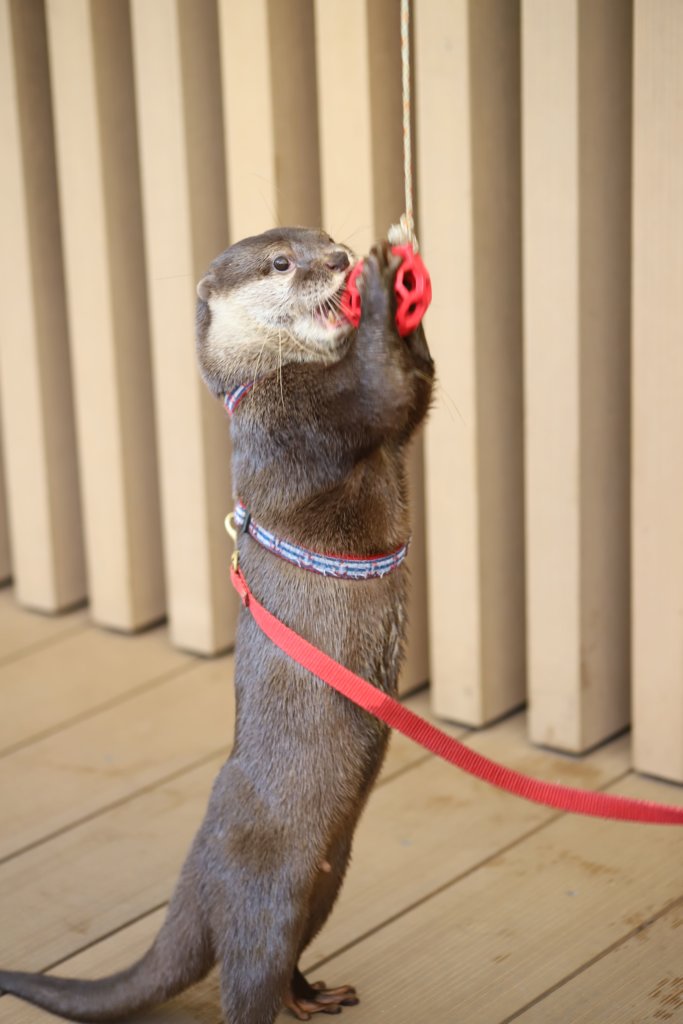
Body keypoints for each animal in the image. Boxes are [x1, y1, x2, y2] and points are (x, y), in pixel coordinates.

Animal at [0, 228, 436, 1019]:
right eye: (283, 263)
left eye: (322, 236)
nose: (338, 258)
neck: (269, 388)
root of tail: (197, 879)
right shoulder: (300, 429)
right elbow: (385, 392)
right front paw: (385, 280)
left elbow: (414, 394)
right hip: (268, 892)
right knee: (248, 977)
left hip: (330, 874)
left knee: (287, 954)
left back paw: (312, 994)